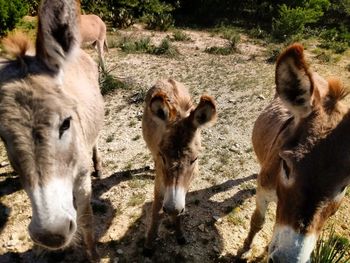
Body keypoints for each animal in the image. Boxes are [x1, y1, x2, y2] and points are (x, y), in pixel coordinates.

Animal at [0, 0, 103, 260]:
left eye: (66, 123)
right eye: (2, 138)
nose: (51, 234)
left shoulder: (82, 179)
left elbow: (86, 220)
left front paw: (93, 256)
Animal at [142, 79, 216, 256]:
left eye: (195, 159)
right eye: (162, 156)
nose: (172, 209)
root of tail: (167, 79)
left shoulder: (188, 180)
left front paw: (179, 232)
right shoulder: (160, 178)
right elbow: (156, 209)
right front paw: (149, 244)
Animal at [239, 44, 350, 262]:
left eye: (343, 187)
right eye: (286, 166)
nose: (287, 259)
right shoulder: (263, 190)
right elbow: (257, 221)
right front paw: (246, 249)